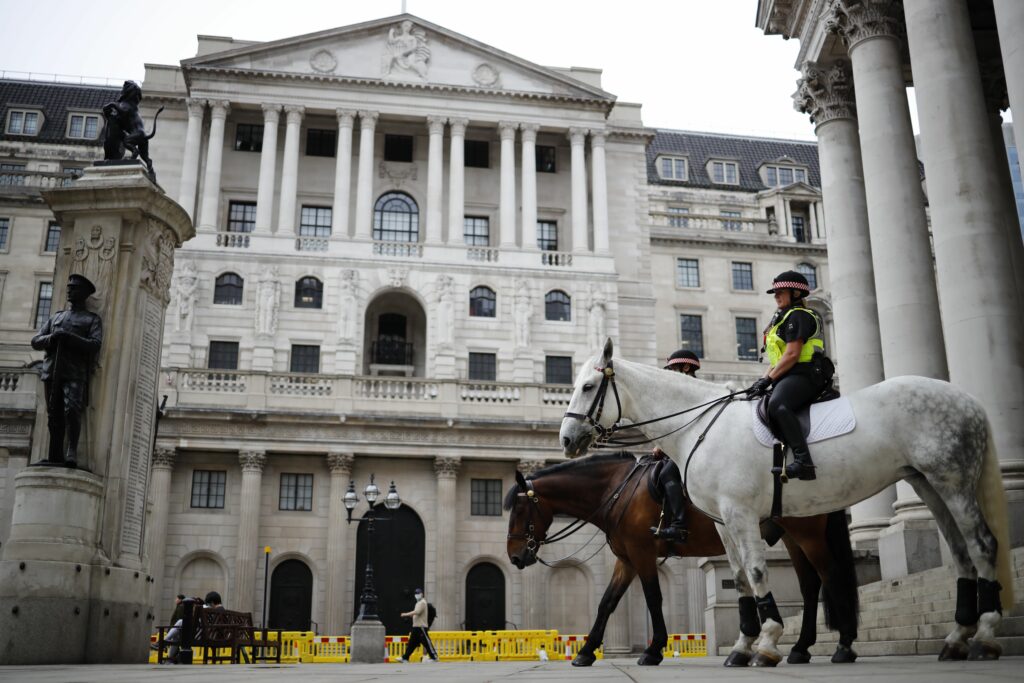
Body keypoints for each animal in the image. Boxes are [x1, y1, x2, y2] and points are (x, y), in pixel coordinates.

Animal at [503, 454, 856, 667]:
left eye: (518, 510)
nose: (515, 556)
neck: (619, 492)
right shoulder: (625, 560)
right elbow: (607, 603)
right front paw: (587, 652)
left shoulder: (642, 553)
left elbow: (653, 598)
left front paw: (652, 649)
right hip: (792, 536)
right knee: (810, 585)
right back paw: (801, 648)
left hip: (807, 534)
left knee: (830, 576)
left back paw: (843, 645)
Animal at [561, 339, 1015, 663]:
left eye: (587, 387)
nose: (566, 440)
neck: (699, 426)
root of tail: (967, 399)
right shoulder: (723, 521)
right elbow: (740, 577)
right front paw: (743, 646)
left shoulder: (739, 514)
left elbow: (757, 572)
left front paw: (766, 643)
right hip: (927, 484)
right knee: (958, 552)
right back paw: (955, 638)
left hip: (952, 481)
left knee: (981, 545)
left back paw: (983, 635)